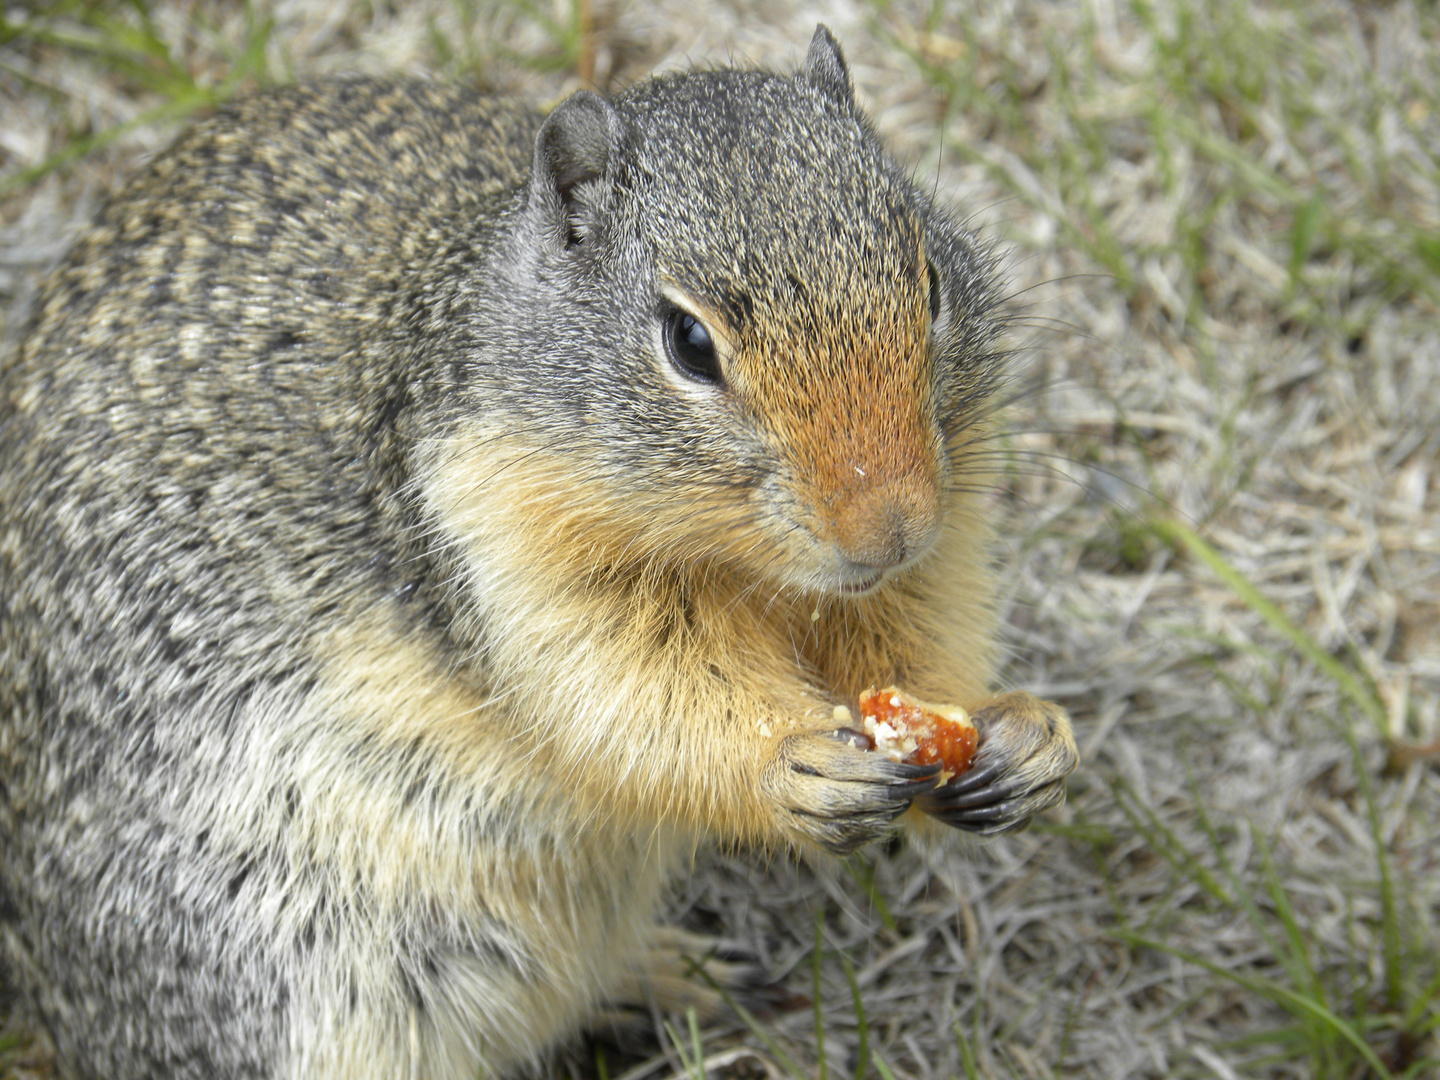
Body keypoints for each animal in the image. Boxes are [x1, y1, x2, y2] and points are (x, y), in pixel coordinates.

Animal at [0, 25, 1077, 1080]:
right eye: (689, 343)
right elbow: (632, 700)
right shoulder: (506, 552)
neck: (747, 567)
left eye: (928, 281)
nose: (892, 530)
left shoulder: (929, 558)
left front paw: (1025, 736)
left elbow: (911, 650)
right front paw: (794, 765)